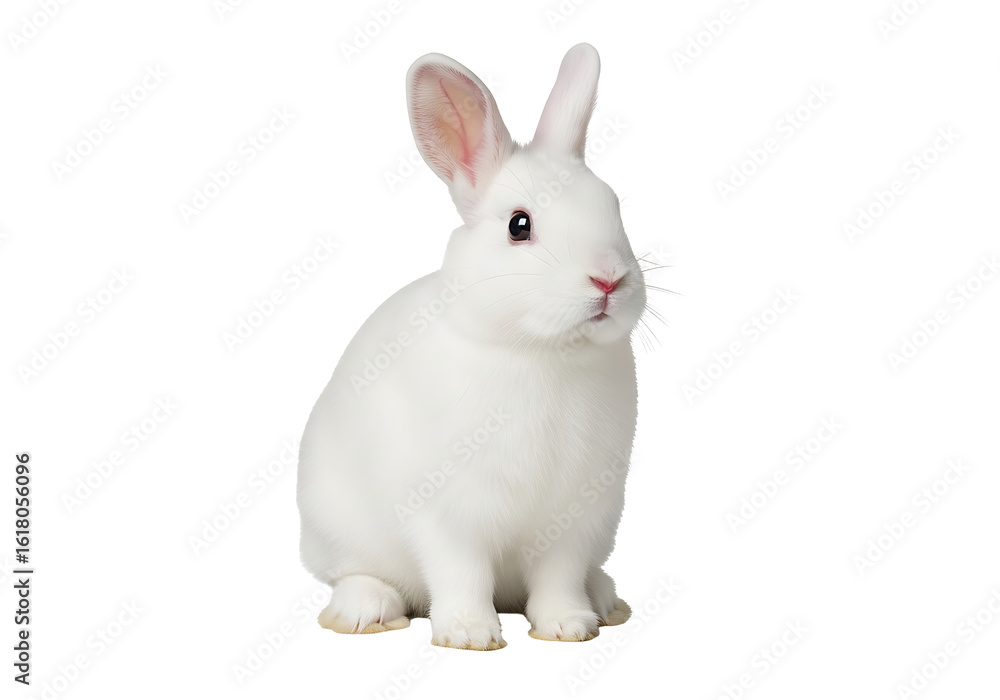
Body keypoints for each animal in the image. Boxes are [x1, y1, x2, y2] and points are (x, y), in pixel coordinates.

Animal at [297, 43, 646, 650]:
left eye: (615, 209)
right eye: (519, 225)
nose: (608, 280)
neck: (542, 351)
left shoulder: (575, 520)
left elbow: (559, 577)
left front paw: (568, 627)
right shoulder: (447, 514)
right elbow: (460, 572)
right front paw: (469, 635)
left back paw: (605, 601)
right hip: (334, 525)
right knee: (355, 573)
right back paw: (365, 612)